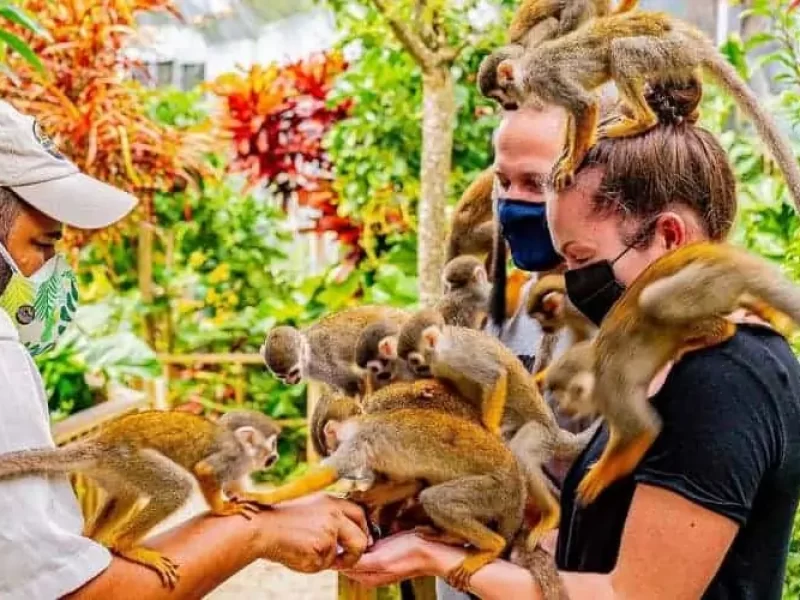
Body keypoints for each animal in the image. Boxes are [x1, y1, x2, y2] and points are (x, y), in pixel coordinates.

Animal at [0, 409, 280, 588]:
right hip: (131, 459)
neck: (241, 449)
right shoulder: (231, 456)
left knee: (128, 493)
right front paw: (222, 509)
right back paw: (125, 545)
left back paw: (97, 539)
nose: (275, 456)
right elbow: (205, 471)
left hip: (117, 467)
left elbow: (235, 487)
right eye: (273, 444)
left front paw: (242, 496)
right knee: (177, 486)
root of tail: (102, 440)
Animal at [237, 407, 526, 592]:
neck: (361, 422)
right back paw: (451, 537)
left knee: (436, 498)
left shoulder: (357, 442)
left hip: (493, 490)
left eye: (328, 444)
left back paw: (490, 546)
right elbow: (411, 482)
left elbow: (328, 474)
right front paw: (363, 498)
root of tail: (518, 483)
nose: (329, 449)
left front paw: (265, 495)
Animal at [262, 305, 408, 396]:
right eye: (281, 376)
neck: (307, 356)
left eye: (293, 372)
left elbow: (352, 382)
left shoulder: (320, 362)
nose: (288, 382)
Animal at [495, 12, 800, 200]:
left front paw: (572, 162)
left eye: (499, 96)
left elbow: (585, 104)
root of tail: (692, 39)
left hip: (664, 49)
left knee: (621, 51)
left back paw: (643, 120)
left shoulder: (547, 78)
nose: (506, 107)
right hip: (675, 56)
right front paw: (568, 151)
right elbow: (577, 109)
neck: (526, 72)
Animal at [544, 241, 800, 506]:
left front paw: (599, 476)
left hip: (708, 281)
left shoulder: (612, 386)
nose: (563, 409)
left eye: (565, 398)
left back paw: (715, 333)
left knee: (653, 301)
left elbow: (643, 430)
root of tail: (728, 257)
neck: (596, 373)